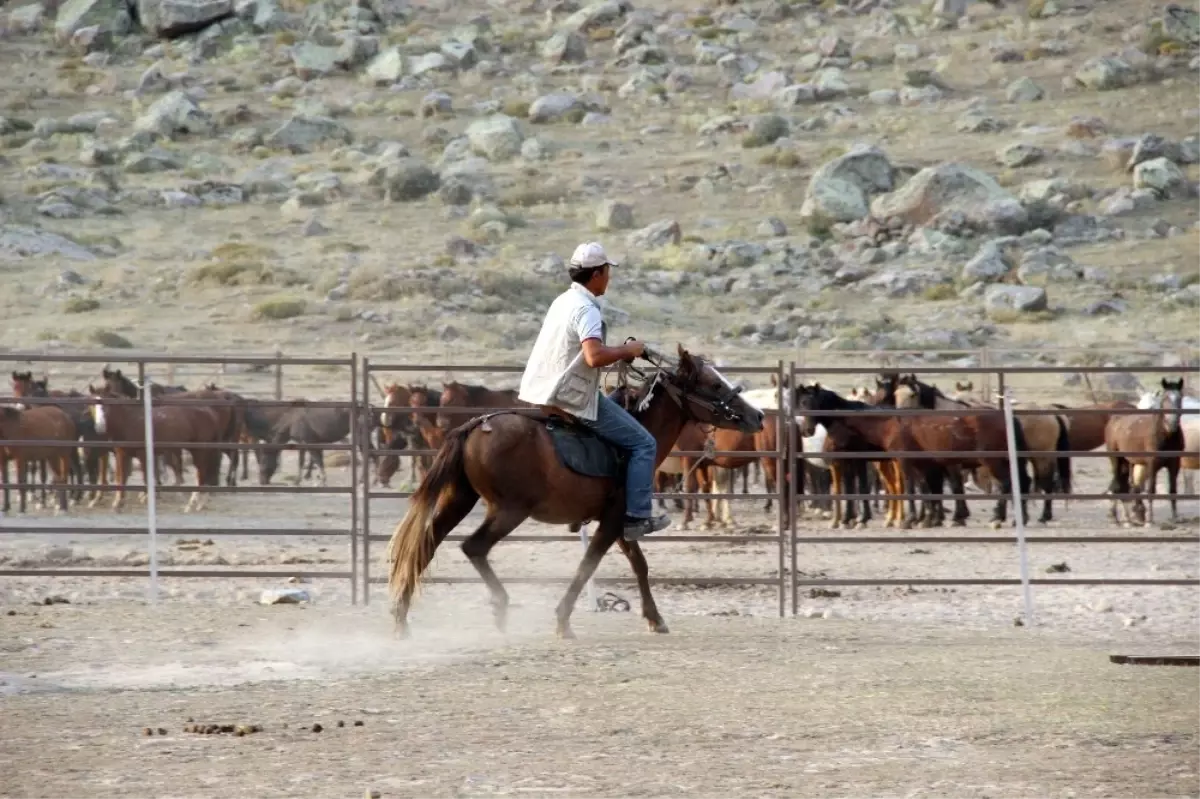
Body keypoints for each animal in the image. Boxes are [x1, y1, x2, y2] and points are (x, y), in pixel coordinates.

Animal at [384, 345, 763, 638]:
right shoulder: (611, 522)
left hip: (460, 499)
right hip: (508, 510)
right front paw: (563, 621)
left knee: (426, 544)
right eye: (713, 383)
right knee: (473, 547)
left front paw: (655, 619)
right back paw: (500, 607)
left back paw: (401, 619)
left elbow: (639, 564)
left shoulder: (620, 520)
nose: (757, 415)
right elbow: (588, 564)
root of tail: (476, 425)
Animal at [1099, 379, 1185, 525]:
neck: (1166, 435)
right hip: (1116, 459)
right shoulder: (1152, 463)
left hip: (1127, 462)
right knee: (1118, 484)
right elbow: (1150, 489)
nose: (1172, 423)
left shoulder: (1174, 463)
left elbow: (1172, 490)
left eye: (1180, 398)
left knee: (1127, 484)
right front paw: (1149, 520)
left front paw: (1175, 517)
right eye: (1165, 398)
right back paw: (1118, 517)